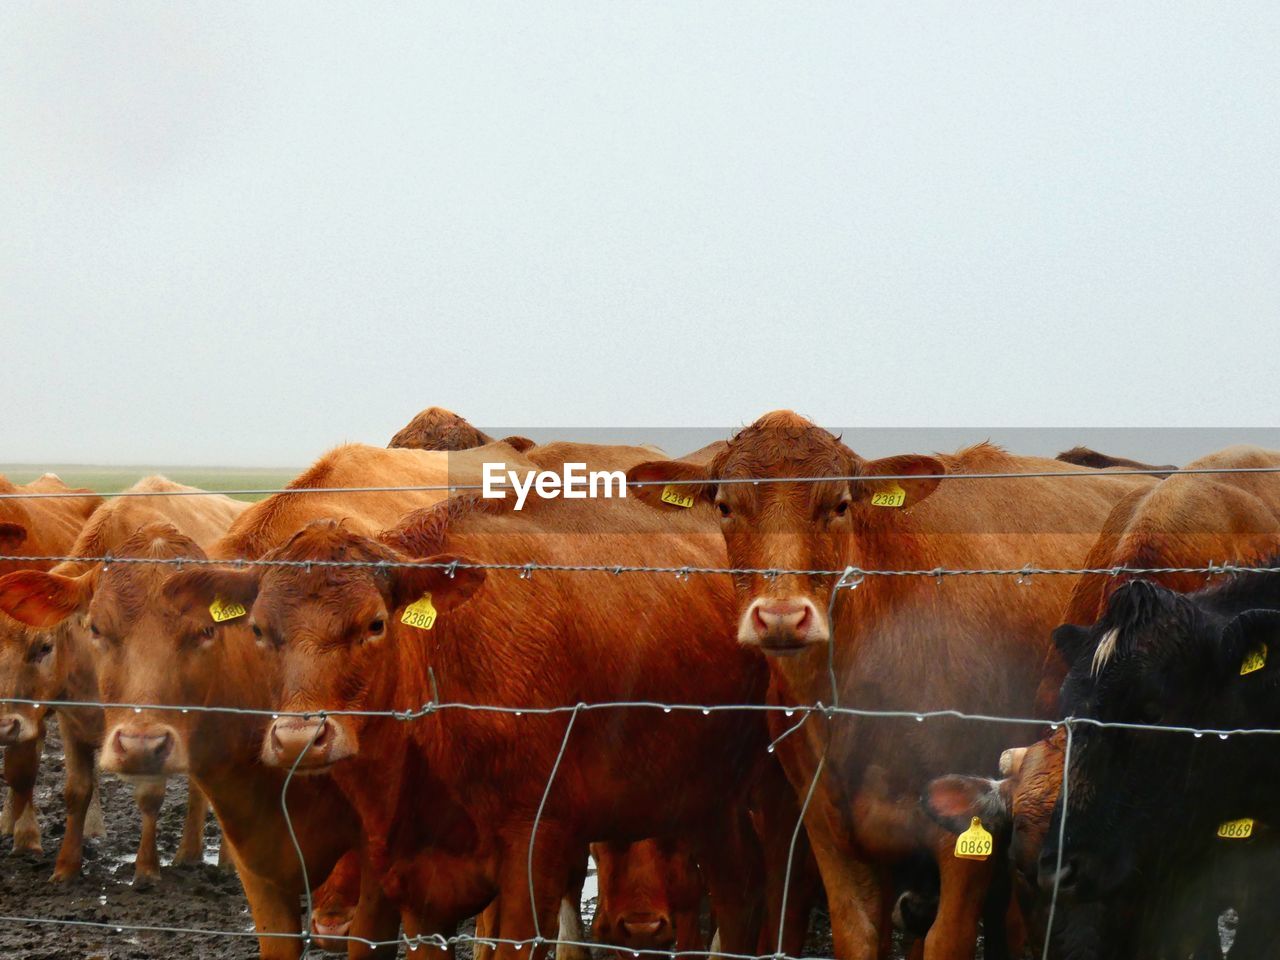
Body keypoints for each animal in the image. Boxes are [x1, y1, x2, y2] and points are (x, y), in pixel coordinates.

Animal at [160, 483, 773, 960]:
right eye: (259, 630)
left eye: (376, 624)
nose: (298, 739)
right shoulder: (407, 879)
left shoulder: (533, 854)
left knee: (738, 900)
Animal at [624, 414, 1157, 960]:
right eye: (726, 507)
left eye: (839, 505)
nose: (782, 616)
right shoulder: (830, 833)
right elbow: (857, 935)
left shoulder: (966, 839)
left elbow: (946, 938)